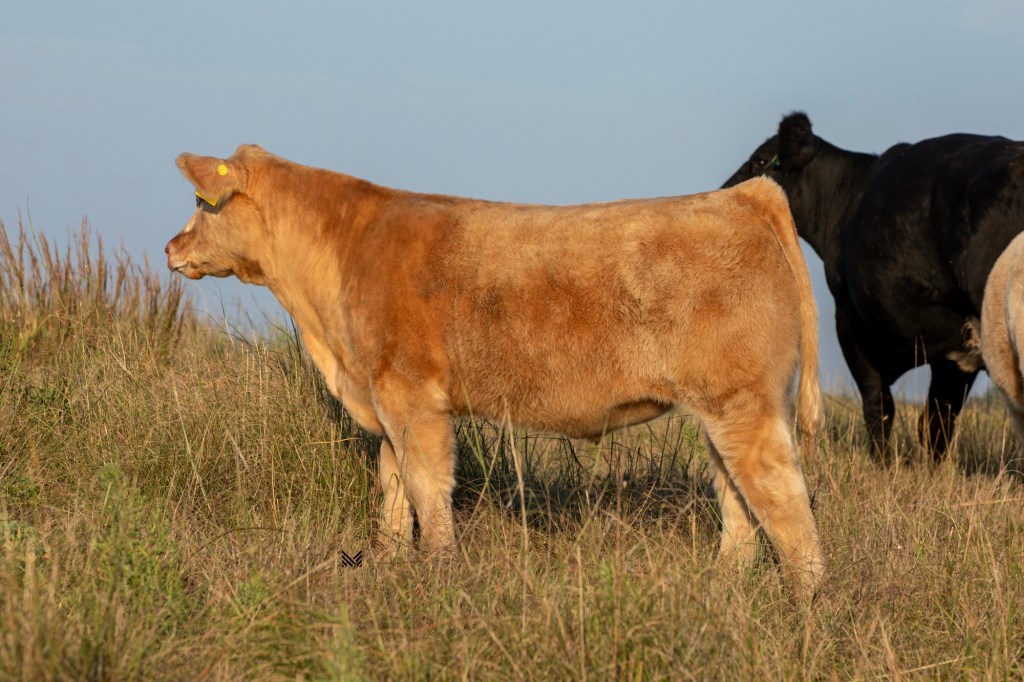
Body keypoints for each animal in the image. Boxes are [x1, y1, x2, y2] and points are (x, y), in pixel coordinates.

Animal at [165, 144, 825, 594]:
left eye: (203, 202)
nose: (172, 247)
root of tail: (744, 196)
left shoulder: (410, 395)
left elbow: (427, 485)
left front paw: (438, 570)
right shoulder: (385, 397)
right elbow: (393, 486)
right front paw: (388, 564)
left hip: (744, 404)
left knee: (785, 501)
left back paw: (807, 606)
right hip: (721, 413)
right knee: (737, 501)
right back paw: (726, 587)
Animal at [725, 113, 1024, 461]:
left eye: (761, 159)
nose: (724, 194)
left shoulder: (850, 321)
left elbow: (878, 407)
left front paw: (881, 464)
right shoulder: (954, 354)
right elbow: (936, 422)